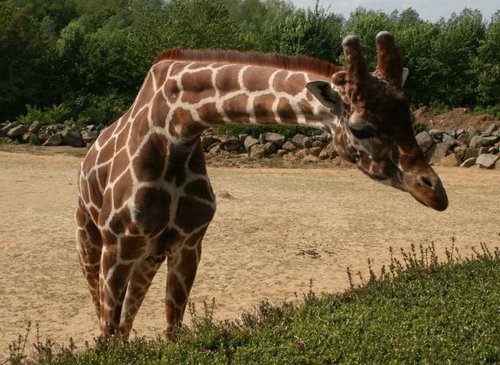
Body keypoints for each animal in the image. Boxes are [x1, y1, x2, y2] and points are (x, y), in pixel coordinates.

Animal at [76, 30, 448, 338]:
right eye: (360, 128)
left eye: (409, 117)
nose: (435, 192)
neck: (175, 130)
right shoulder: (119, 244)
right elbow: (107, 334)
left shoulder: (189, 244)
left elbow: (171, 333)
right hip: (92, 240)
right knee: (104, 317)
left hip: (149, 255)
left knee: (127, 321)